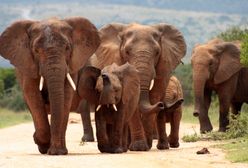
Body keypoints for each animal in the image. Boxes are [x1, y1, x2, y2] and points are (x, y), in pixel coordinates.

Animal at [0, 17, 100, 155]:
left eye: (67, 48)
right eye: (36, 50)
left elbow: (65, 96)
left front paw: (57, 152)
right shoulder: (28, 64)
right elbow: (32, 95)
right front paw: (42, 143)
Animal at [80, 22, 187, 150]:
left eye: (157, 53)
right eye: (127, 52)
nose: (161, 105)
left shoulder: (165, 63)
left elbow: (155, 94)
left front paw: (146, 146)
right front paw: (140, 147)